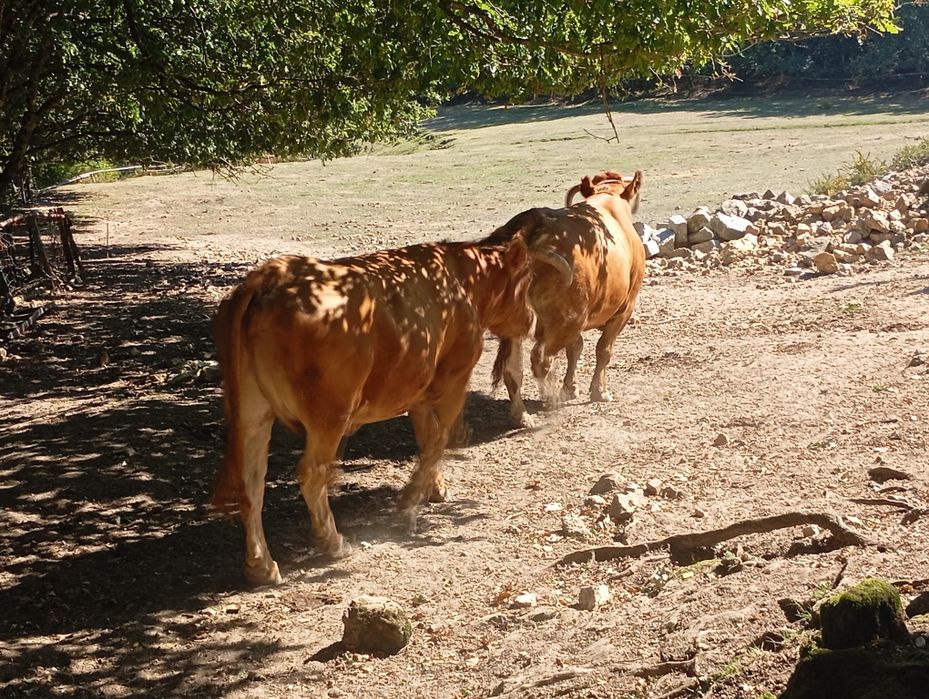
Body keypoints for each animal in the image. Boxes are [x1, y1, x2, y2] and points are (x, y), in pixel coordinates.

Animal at [212, 234, 568, 585]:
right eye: (526, 280)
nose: (531, 320)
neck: (463, 281)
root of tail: (269, 277)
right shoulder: (455, 377)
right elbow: (439, 439)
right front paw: (409, 501)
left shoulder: (418, 390)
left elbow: (427, 439)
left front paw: (433, 488)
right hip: (330, 417)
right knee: (311, 473)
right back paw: (333, 542)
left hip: (252, 414)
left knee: (251, 484)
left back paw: (261, 565)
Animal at [491, 170, 646, 426]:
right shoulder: (624, 310)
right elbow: (603, 350)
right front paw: (600, 391)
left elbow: (576, 348)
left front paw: (571, 387)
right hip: (565, 321)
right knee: (540, 360)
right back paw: (551, 401)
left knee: (513, 371)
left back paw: (522, 416)